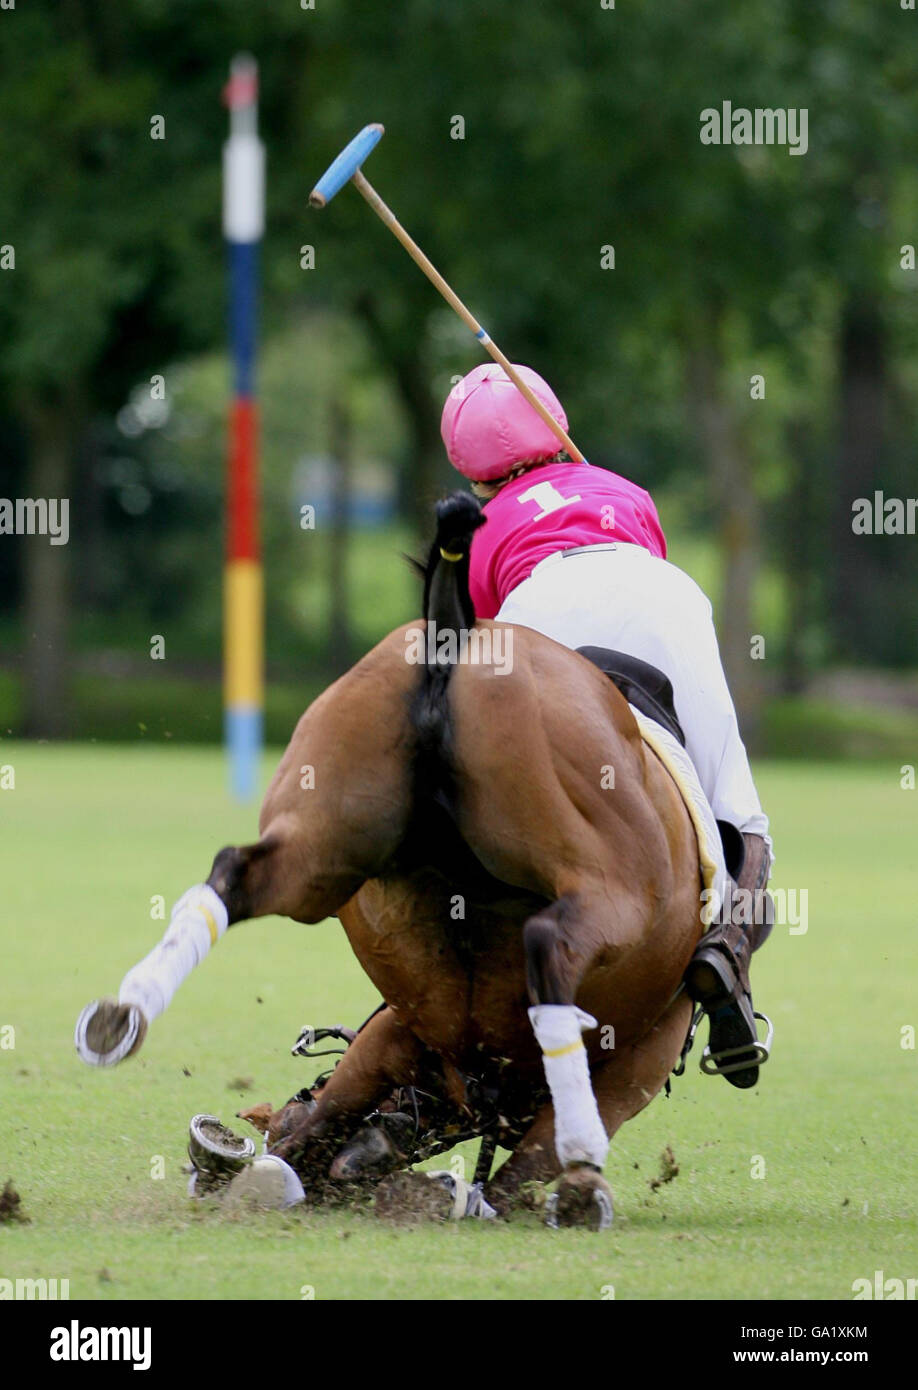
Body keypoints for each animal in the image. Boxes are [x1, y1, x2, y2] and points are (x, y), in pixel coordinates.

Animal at [77, 493, 705, 1228]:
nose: (208, 1166)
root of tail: (454, 630)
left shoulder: (397, 1034)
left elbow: (322, 1123)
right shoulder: (634, 1066)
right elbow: (512, 1174)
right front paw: (544, 1187)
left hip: (325, 841)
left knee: (236, 872)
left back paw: (124, 1014)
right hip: (611, 883)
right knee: (550, 939)